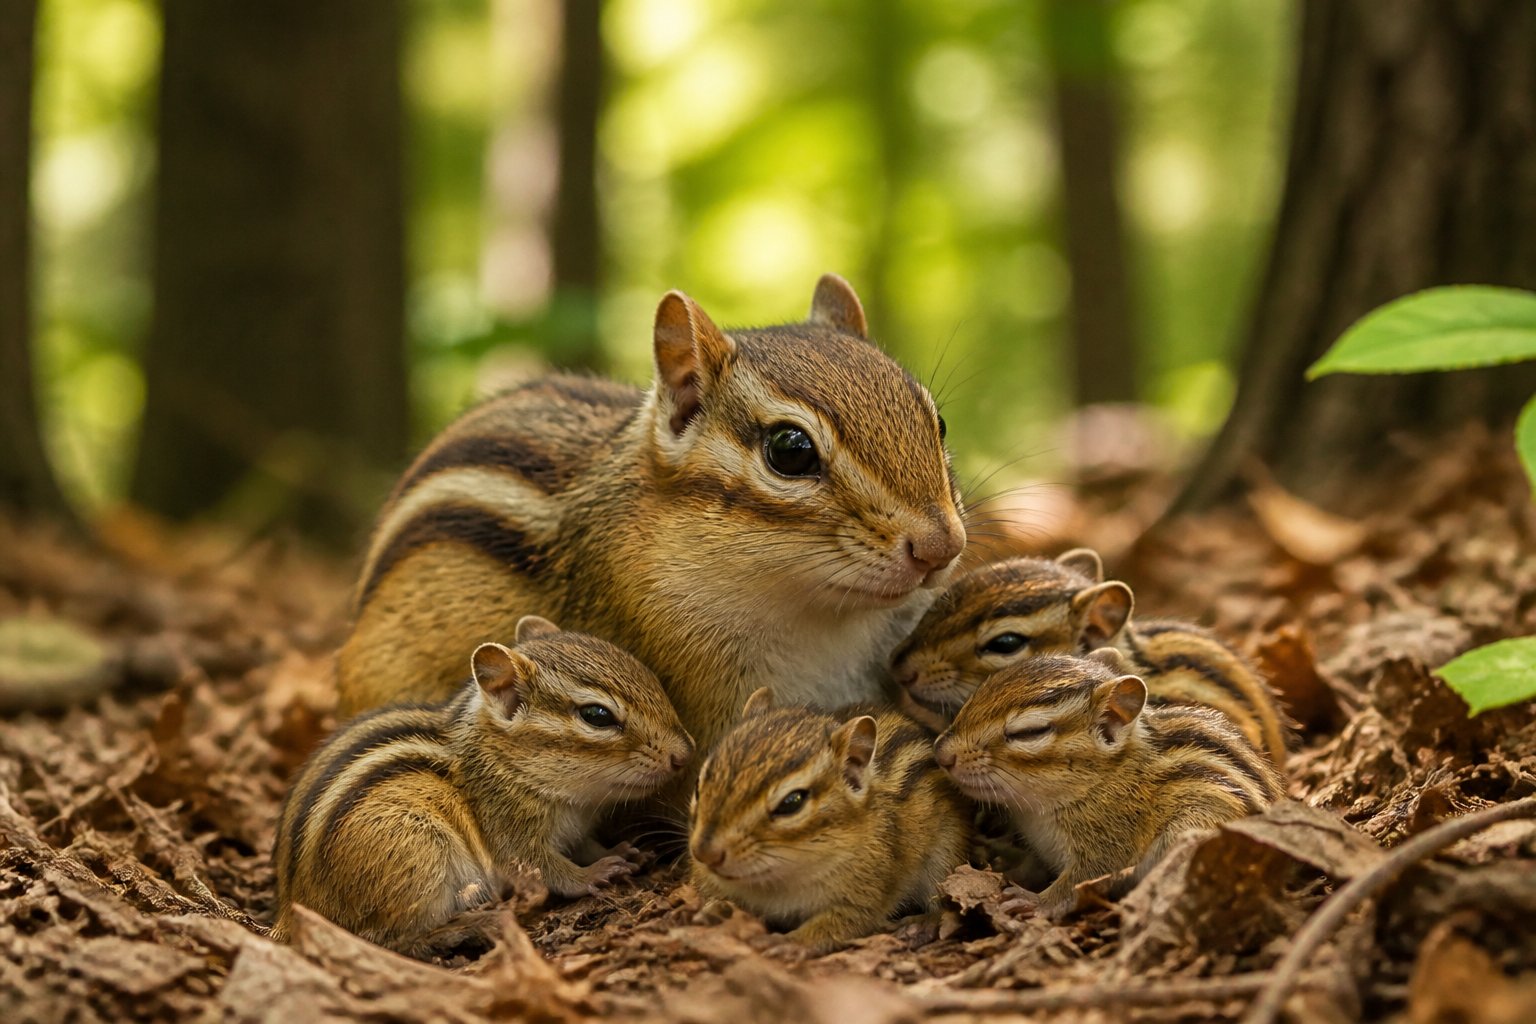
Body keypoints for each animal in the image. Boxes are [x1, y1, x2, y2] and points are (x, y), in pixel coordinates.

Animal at [272, 616, 693, 957]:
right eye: (597, 715)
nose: (684, 755)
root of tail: (291, 910)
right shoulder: (511, 835)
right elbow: (550, 870)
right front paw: (595, 873)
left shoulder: (575, 830)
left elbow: (584, 846)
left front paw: (619, 851)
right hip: (420, 853)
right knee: (389, 939)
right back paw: (470, 925)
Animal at [687, 688, 973, 954]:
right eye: (698, 786)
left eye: (792, 802)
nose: (705, 853)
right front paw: (713, 911)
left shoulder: (867, 892)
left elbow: (836, 925)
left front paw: (787, 942)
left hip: (945, 852)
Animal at [933, 649, 1283, 919]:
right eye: (979, 693)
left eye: (1030, 733)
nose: (941, 753)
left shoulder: (1110, 842)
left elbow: (1078, 882)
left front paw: (1035, 901)